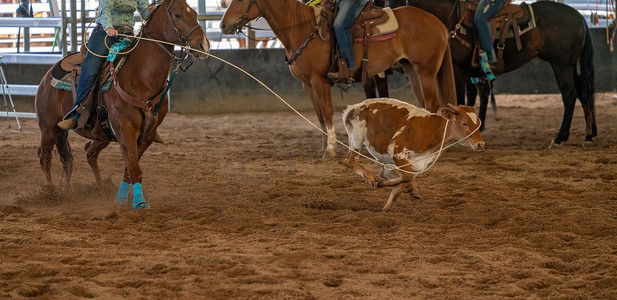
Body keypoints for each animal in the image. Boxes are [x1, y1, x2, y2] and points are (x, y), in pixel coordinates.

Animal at [35, 0, 209, 210]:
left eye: (195, 14)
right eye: (177, 15)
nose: (203, 45)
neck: (141, 77)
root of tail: (48, 73)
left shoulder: (148, 133)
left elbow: (130, 168)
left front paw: (120, 198)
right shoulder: (126, 129)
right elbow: (134, 169)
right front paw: (140, 202)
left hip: (100, 134)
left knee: (89, 153)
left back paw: (100, 187)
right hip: (49, 127)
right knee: (45, 157)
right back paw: (50, 193)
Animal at [219, 0, 454, 158]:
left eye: (240, 0)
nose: (222, 25)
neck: (302, 28)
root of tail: (439, 24)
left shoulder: (319, 80)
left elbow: (328, 112)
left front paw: (331, 148)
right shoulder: (307, 84)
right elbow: (319, 115)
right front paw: (323, 146)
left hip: (426, 72)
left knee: (432, 104)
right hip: (411, 70)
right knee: (423, 105)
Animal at [340, 98, 484, 211]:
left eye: (478, 123)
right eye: (464, 123)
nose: (480, 144)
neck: (434, 131)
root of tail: (352, 108)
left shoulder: (415, 164)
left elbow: (401, 184)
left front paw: (385, 210)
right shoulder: (397, 151)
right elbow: (406, 177)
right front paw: (381, 184)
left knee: (386, 172)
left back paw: (410, 189)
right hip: (357, 138)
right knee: (350, 160)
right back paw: (369, 179)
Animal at [390, 0, 596, 146]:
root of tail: (579, 17)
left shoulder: (458, 69)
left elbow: (459, 99)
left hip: (562, 65)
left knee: (570, 96)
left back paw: (560, 138)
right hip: (570, 66)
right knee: (584, 94)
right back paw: (589, 135)